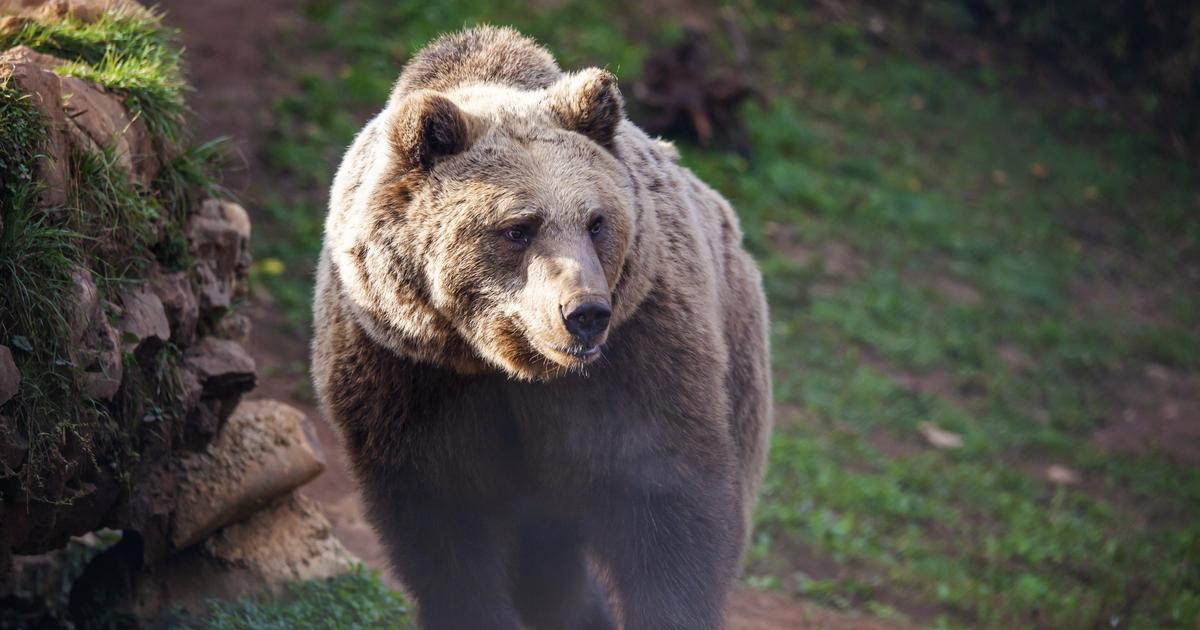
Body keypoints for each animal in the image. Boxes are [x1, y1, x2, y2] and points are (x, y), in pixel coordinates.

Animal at [312, 25, 768, 628]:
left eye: (596, 222)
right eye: (518, 228)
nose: (585, 313)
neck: (505, 364)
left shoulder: (641, 358)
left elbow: (672, 507)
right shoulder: (407, 376)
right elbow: (445, 534)